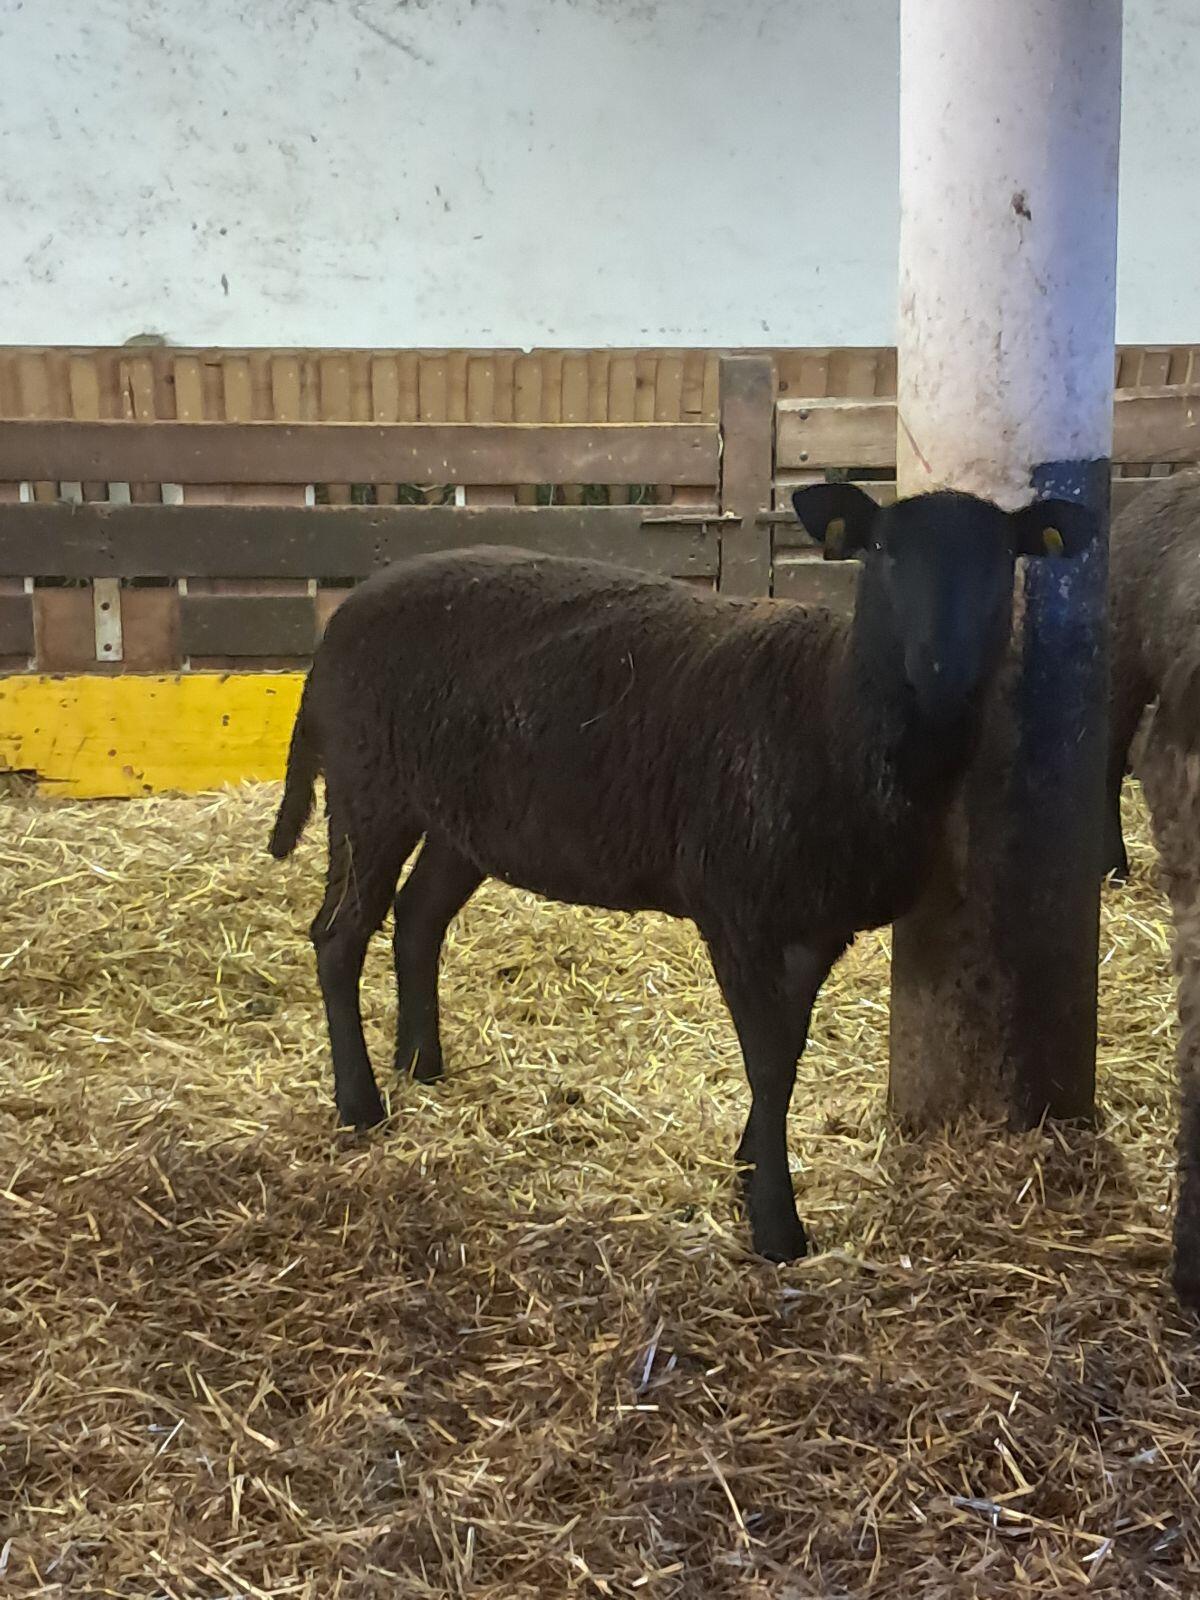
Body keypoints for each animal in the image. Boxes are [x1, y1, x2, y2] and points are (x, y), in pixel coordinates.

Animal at [269, 484, 1091, 1264]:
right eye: (883, 551)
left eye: (1004, 558)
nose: (944, 672)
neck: (832, 710)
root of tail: (341, 619)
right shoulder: (734, 908)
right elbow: (767, 1062)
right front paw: (775, 1224)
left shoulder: (818, 924)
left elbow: (787, 1051)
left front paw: (750, 1163)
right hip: (370, 787)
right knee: (338, 937)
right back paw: (360, 1103)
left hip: (460, 818)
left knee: (417, 918)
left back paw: (421, 1065)